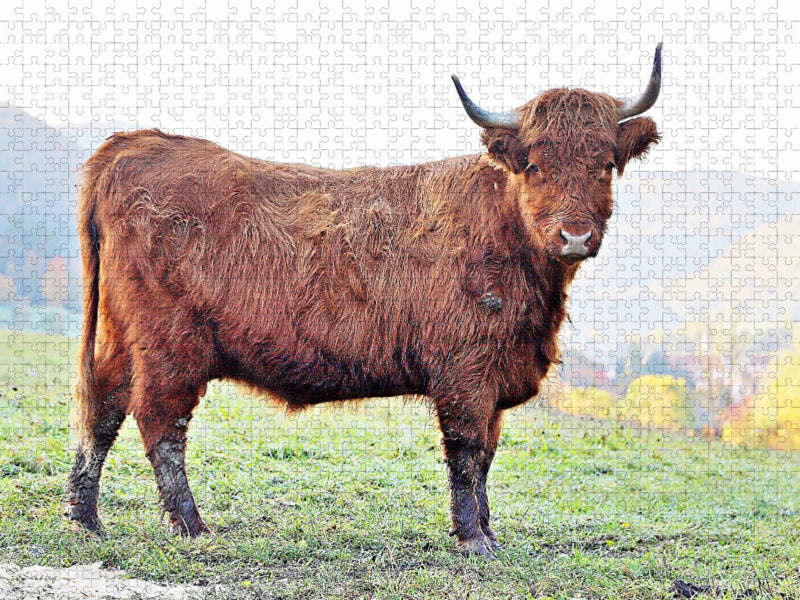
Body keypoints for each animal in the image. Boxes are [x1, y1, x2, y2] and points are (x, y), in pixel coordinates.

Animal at [67, 44, 662, 558]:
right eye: (535, 165)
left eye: (605, 164)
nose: (575, 236)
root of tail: (136, 143)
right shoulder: (466, 371)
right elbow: (468, 453)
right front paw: (474, 540)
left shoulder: (493, 375)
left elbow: (488, 455)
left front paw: (489, 532)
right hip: (171, 345)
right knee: (159, 422)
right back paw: (191, 526)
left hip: (122, 336)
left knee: (103, 407)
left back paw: (86, 517)